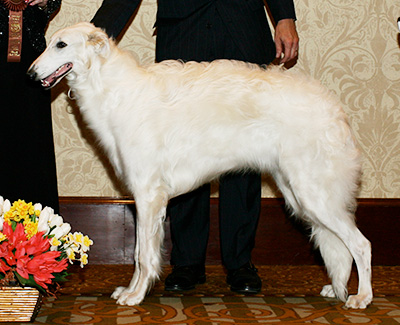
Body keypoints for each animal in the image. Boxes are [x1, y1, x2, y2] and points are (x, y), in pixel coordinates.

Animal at [27, 22, 372, 306]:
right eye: (48, 42)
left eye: (61, 45)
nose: (30, 73)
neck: (114, 90)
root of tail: (334, 109)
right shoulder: (145, 197)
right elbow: (140, 253)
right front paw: (131, 291)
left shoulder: (148, 195)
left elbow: (143, 255)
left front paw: (135, 296)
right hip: (299, 193)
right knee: (339, 246)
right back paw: (336, 289)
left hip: (313, 193)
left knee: (360, 244)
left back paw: (362, 298)